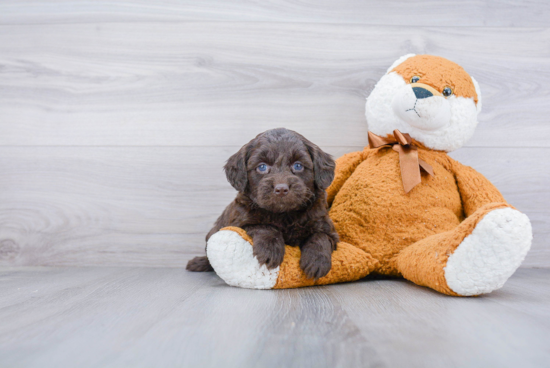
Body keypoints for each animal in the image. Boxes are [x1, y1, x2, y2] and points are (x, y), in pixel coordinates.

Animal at [188, 128, 338, 278]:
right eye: (262, 167)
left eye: (298, 166)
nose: (281, 189)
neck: (284, 214)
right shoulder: (239, 223)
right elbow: (265, 226)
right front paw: (270, 251)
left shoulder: (326, 226)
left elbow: (321, 236)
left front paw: (317, 261)